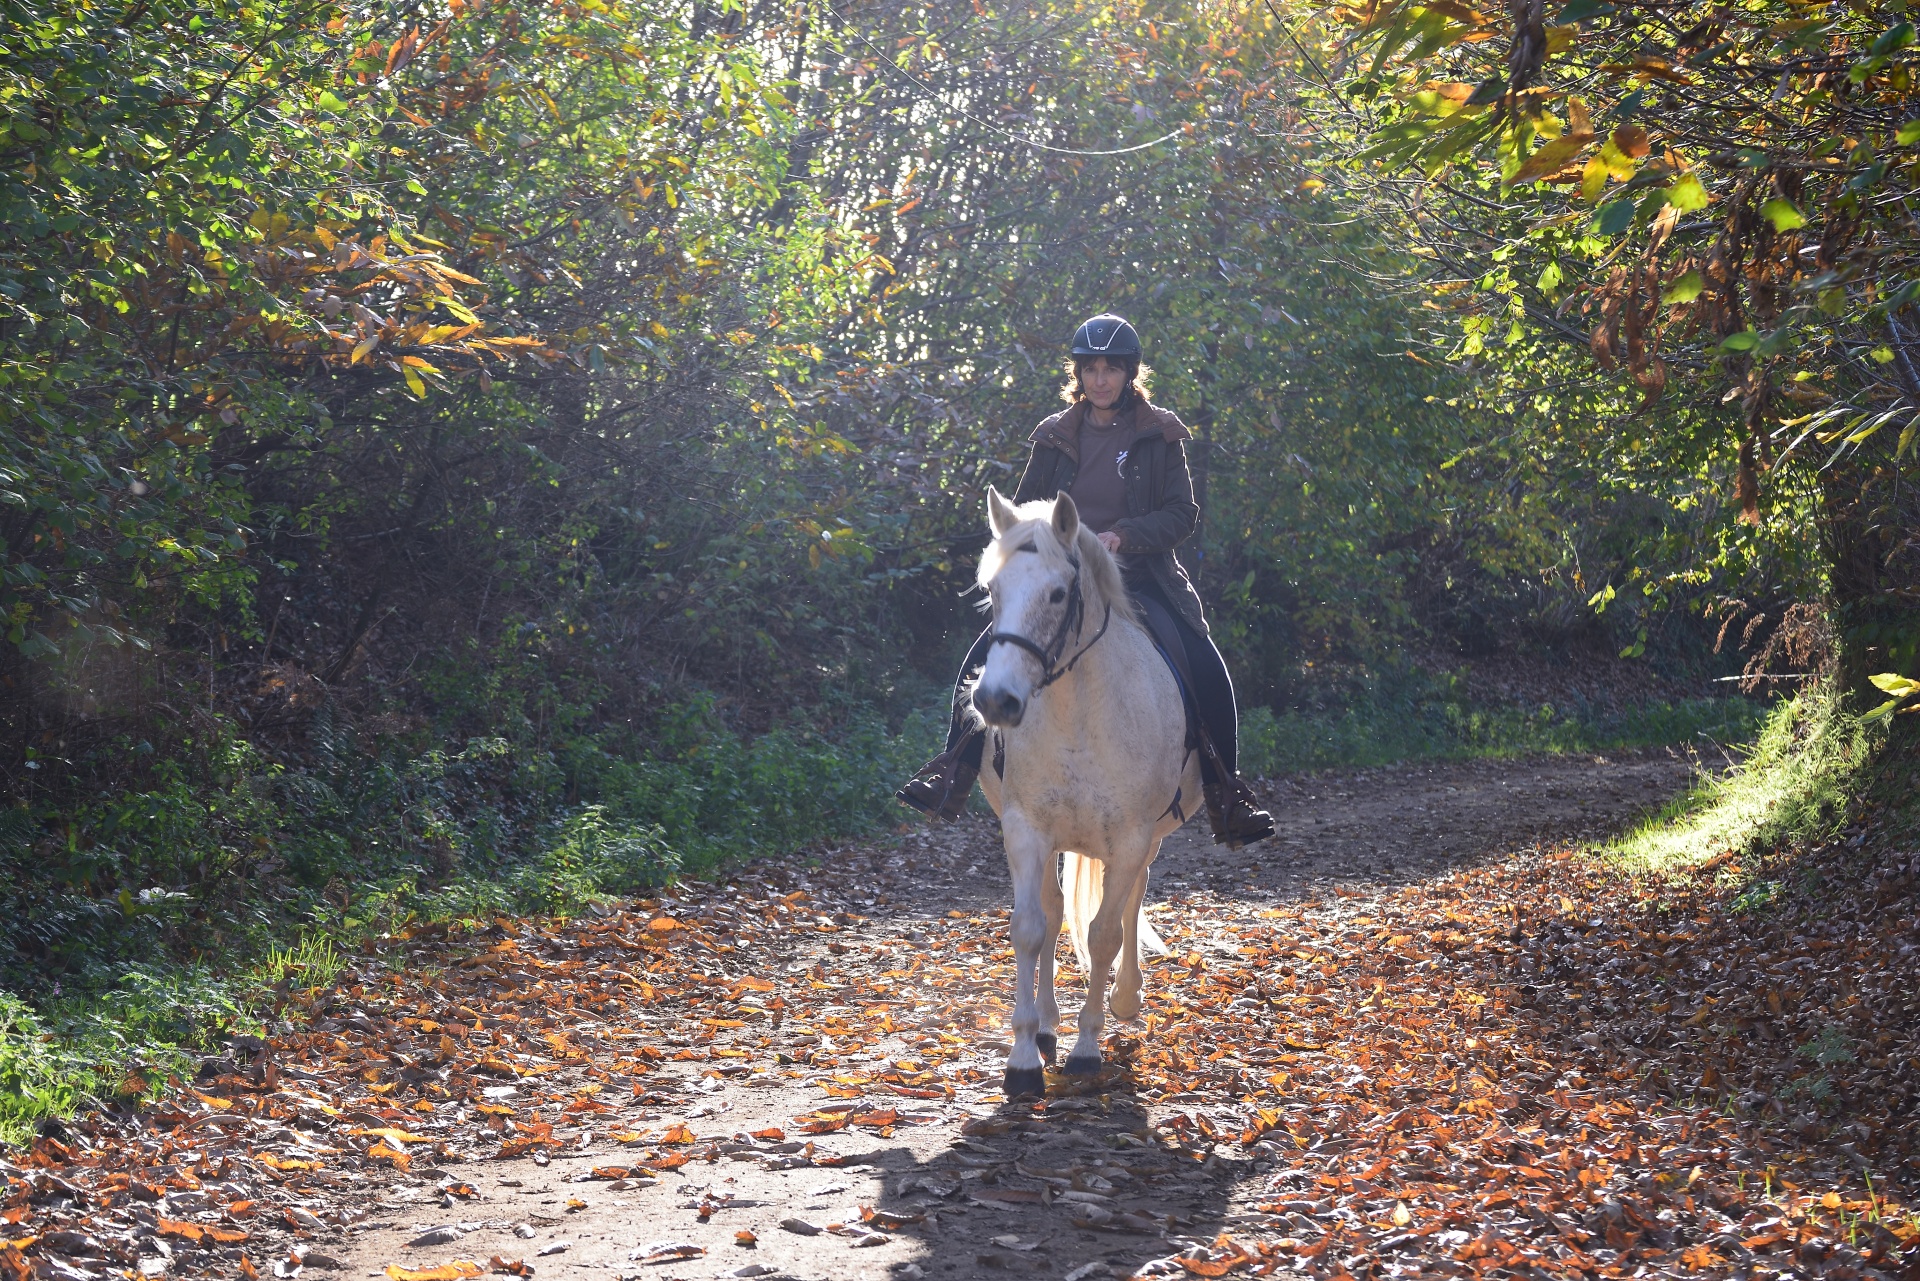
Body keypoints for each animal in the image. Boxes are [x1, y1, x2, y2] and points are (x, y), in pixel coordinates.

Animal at [975, 487, 1198, 1090]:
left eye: (1057, 594)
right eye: (992, 591)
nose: (996, 701)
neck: (1076, 713)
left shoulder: (1130, 837)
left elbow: (1103, 935)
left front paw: (1087, 1046)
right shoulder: (1025, 830)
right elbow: (1030, 928)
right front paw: (1024, 1056)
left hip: (1146, 840)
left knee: (1131, 902)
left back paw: (1124, 999)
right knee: (1055, 913)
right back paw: (1050, 1025)